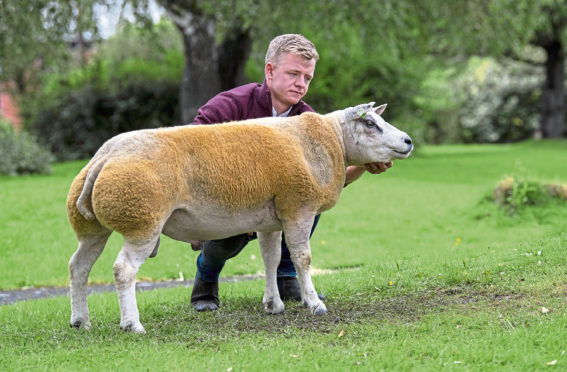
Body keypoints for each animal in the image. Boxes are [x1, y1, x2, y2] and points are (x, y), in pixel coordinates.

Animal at [67, 102, 412, 334]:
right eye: (371, 124)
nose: (408, 141)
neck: (332, 142)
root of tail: (105, 156)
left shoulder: (271, 221)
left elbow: (271, 259)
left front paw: (274, 305)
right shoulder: (298, 208)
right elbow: (303, 259)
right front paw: (314, 304)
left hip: (93, 228)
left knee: (78, 267)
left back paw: (80, 320)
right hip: (142, 221)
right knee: (123, 270)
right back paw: (132, 324)